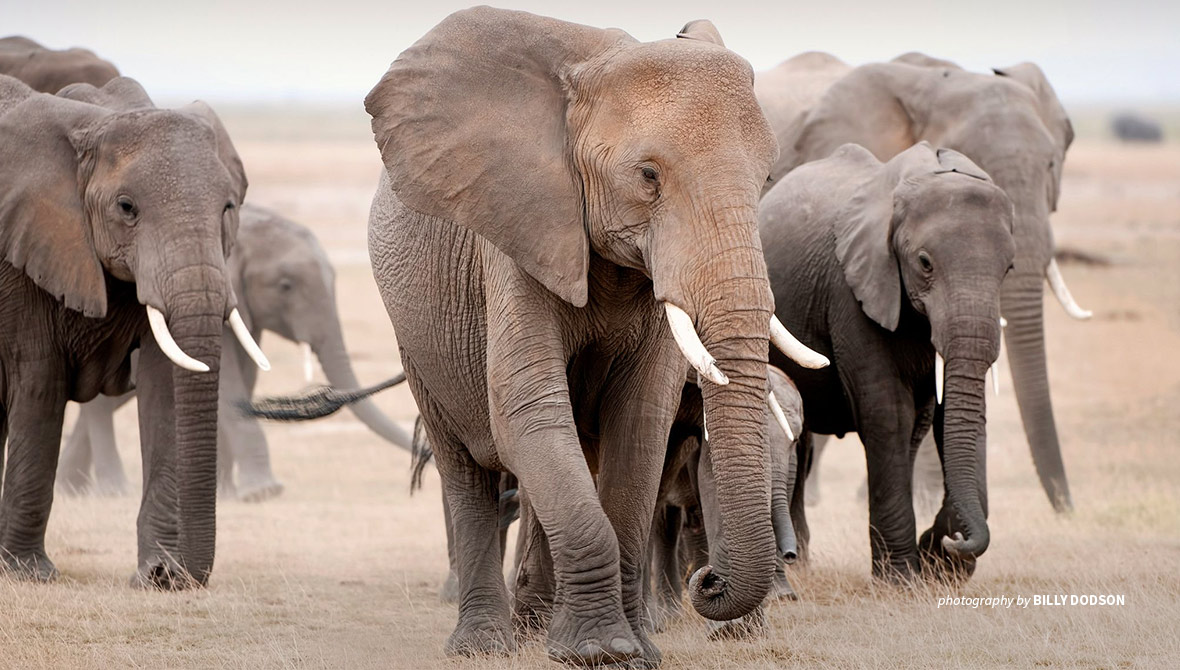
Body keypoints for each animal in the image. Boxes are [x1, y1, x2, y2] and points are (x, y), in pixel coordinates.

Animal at [0, 74, 264, 587]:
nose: (183, 575)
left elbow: (164, 389)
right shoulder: (20, 258)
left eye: (228, 207)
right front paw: (28, 573)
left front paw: (156, 574)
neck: (94, 122)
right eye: (126, 207)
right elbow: (40, 387)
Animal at [55, 204, 414, 501]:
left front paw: (226, 494)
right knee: (100, 406)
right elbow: (226, 383)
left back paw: (71, 489)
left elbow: (243, 381)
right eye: (286, 286)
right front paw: (263, 493)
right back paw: (112, 491)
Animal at [363, 8, 826, 665]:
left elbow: (640, 422)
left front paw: (635, 650)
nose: (707, 581)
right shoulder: (517, 233)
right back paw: (486, 644)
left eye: (767, 177)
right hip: (415, 335)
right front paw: (599, 651)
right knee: (466, 465)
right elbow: (526, 410)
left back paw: (536, 625)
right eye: (648, 176)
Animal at [760, 142, 1017, 582]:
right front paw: (901, 578)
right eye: (925, 263)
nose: (952, 542)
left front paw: (936, 561)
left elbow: (939, 418)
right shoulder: (851, 288)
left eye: (1008, 268)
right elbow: (888, 413)